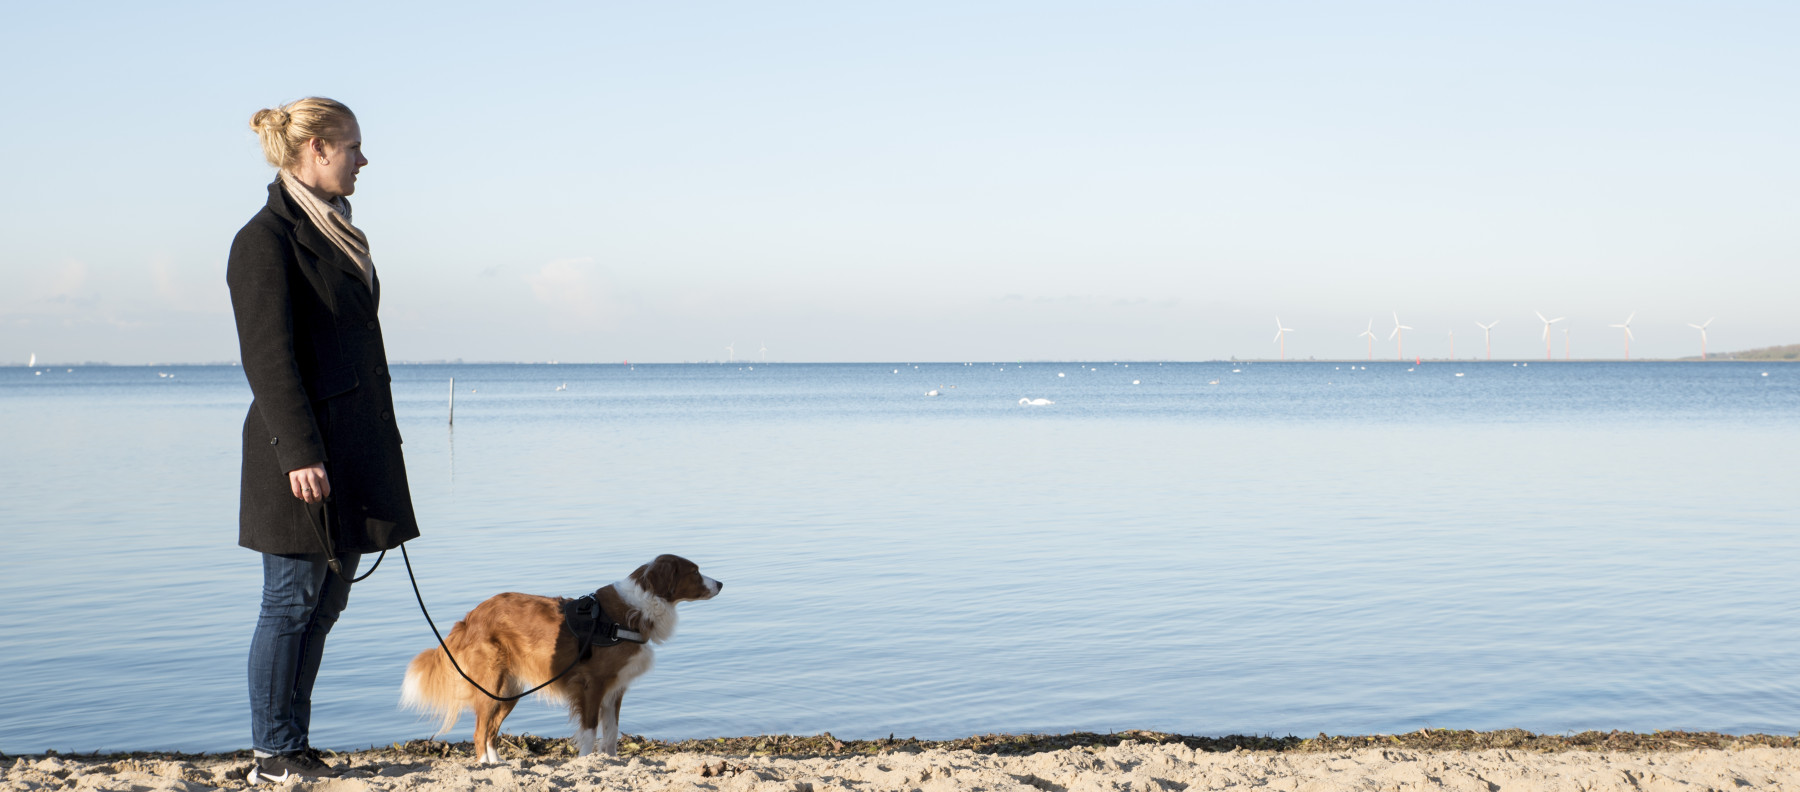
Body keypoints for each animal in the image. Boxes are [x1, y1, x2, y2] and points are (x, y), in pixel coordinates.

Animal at [403, 554, 723, 759]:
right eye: (695, 571)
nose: (720, 583)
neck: (636, 609)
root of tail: (470, 618)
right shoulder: (593, 685)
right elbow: (591, 730)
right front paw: (585, 762)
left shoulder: (615, 689)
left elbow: (611, 733)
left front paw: (611, 762)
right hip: (492, 684)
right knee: (480, 733)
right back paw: (485, 768)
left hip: (508, 689)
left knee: (491, 731)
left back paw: (498, 767)